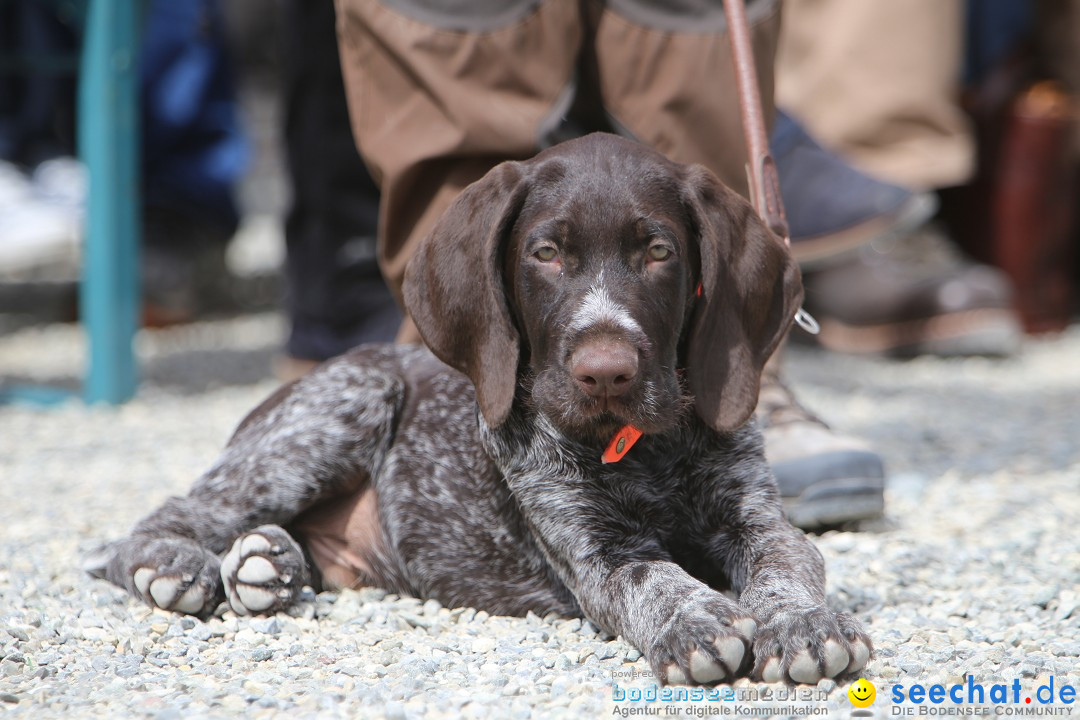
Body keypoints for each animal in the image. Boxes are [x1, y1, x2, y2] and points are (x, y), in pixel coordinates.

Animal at [88, 132, 872, 686]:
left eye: (658, 251)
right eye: (546, 253)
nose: (605, 373)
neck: (643, 445)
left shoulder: (756, 516)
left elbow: (787, 561)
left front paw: (805, 623)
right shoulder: (593, 551)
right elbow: (651, 577)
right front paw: (698, 620)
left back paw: (267, 565)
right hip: (331, 417)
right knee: (170, 514)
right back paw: (177, 566)